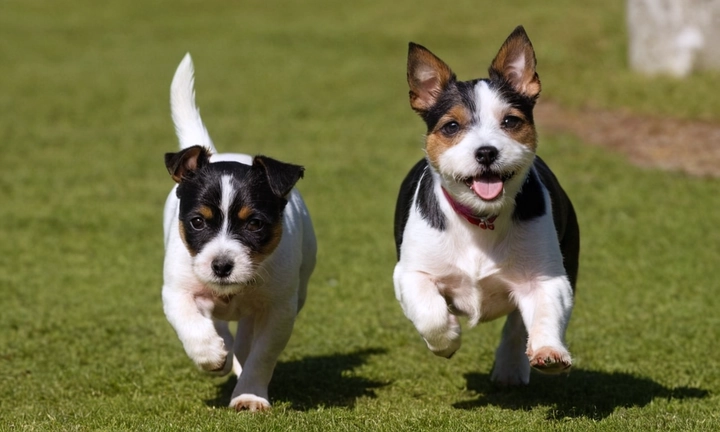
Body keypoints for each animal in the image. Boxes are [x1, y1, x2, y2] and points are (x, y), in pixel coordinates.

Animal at [162, 54, 316, 412]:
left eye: (254, 224)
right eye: (198, 222)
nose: (221, 266)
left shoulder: (279, 309)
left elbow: (262, 355)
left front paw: (249, 395)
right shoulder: (176, 291)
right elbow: (190, 321)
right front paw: (210, 353)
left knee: (246, 335)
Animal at [390, 27, 584, 384]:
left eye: (510, 121)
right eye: (451, 126)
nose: (486, 152)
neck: (481, 218)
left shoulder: (549, 277)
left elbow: (545, 312)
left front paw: (549, 351)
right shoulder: (410, 273)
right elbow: (430, 313)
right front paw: (447, 339)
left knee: (517, 326)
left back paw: (511, 366)